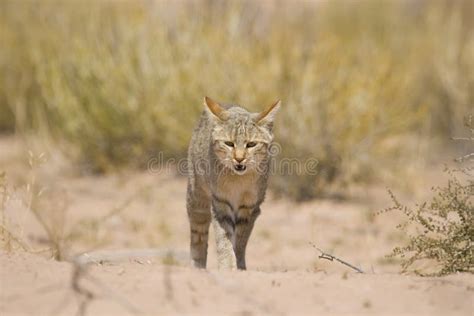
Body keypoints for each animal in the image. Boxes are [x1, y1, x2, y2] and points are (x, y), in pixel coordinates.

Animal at [186, 96, 282, 270]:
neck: (238, 180)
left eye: (251, 144)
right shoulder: (220, 203)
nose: (239, 158)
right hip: (196, 199)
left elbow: (241, 241)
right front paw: (227, 266)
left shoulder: (250, 207)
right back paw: (197, 266)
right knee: (198, 234)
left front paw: (239, 265)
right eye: (229, 143)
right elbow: (224, 239)